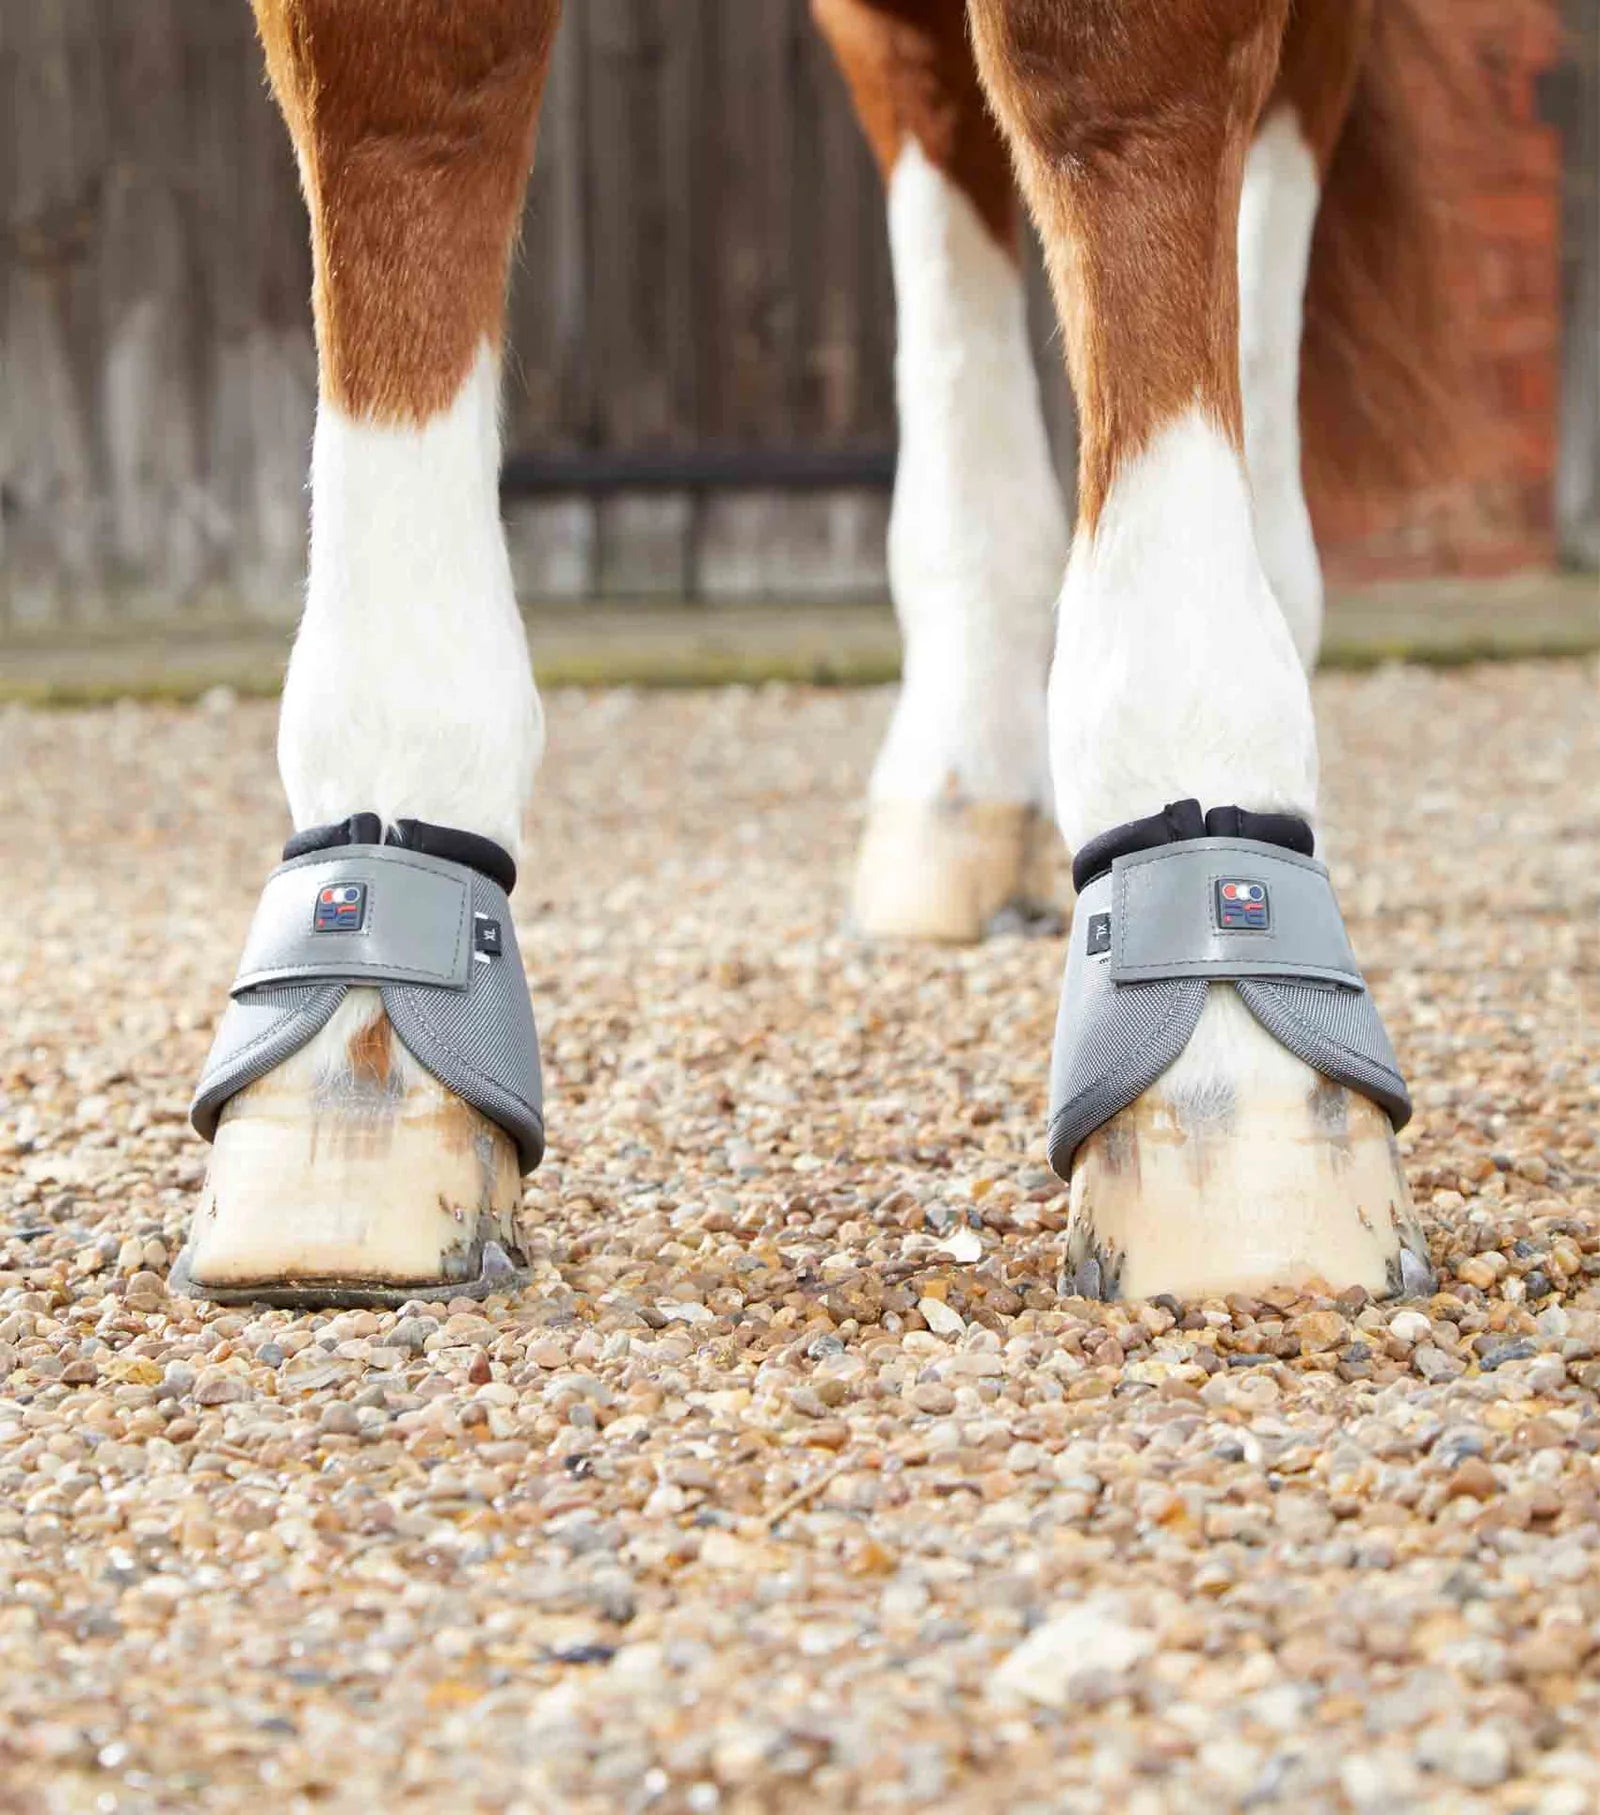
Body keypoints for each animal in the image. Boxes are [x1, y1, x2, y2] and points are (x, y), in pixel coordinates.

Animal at [176, 0, 1461, 1310]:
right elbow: (409, 110)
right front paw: (350, 1076)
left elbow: (1118, 95)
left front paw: (1235, 1075)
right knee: (940, 121)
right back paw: (959, 789)